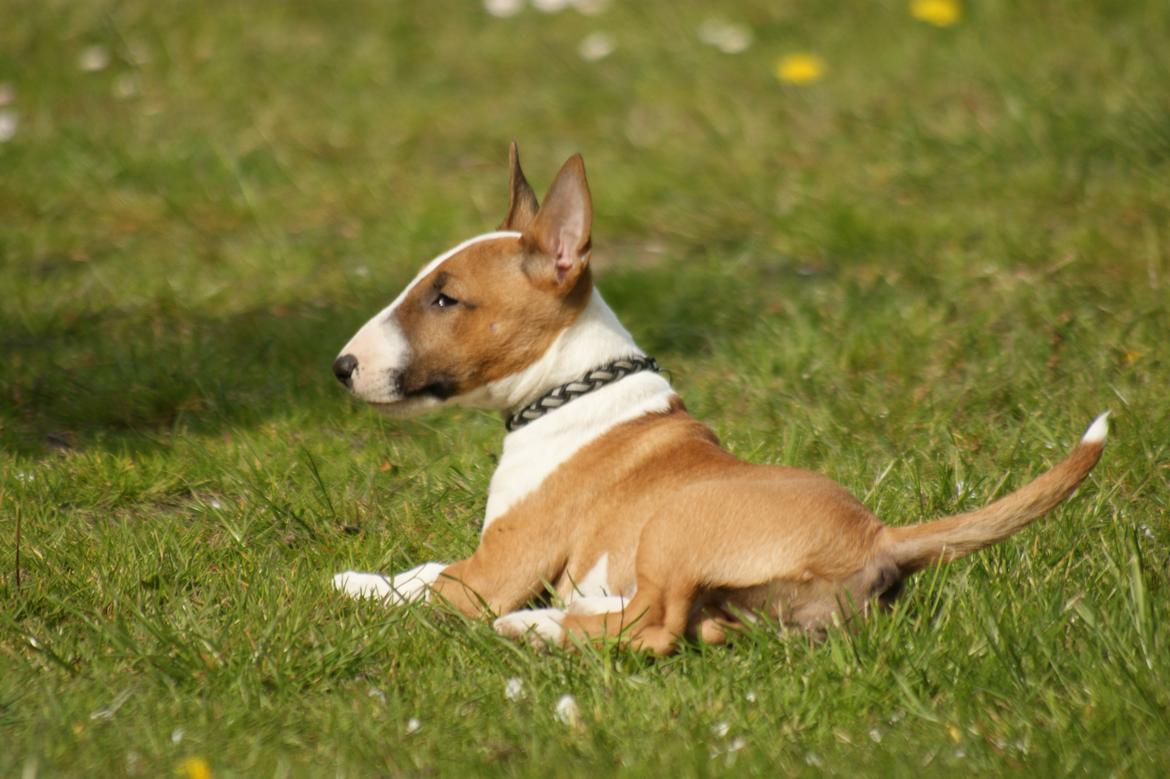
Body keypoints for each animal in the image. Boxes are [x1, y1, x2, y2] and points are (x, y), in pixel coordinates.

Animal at [329, 142, 1104, 650]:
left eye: (445, 298)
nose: (342, 366)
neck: (571, 391)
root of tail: (878, 532)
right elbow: (422, 569)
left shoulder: (494, 571)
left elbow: (420, 582)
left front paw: (347, 582)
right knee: (689, 625)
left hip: (674, 523)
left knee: (653, 630)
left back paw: (534, 627)